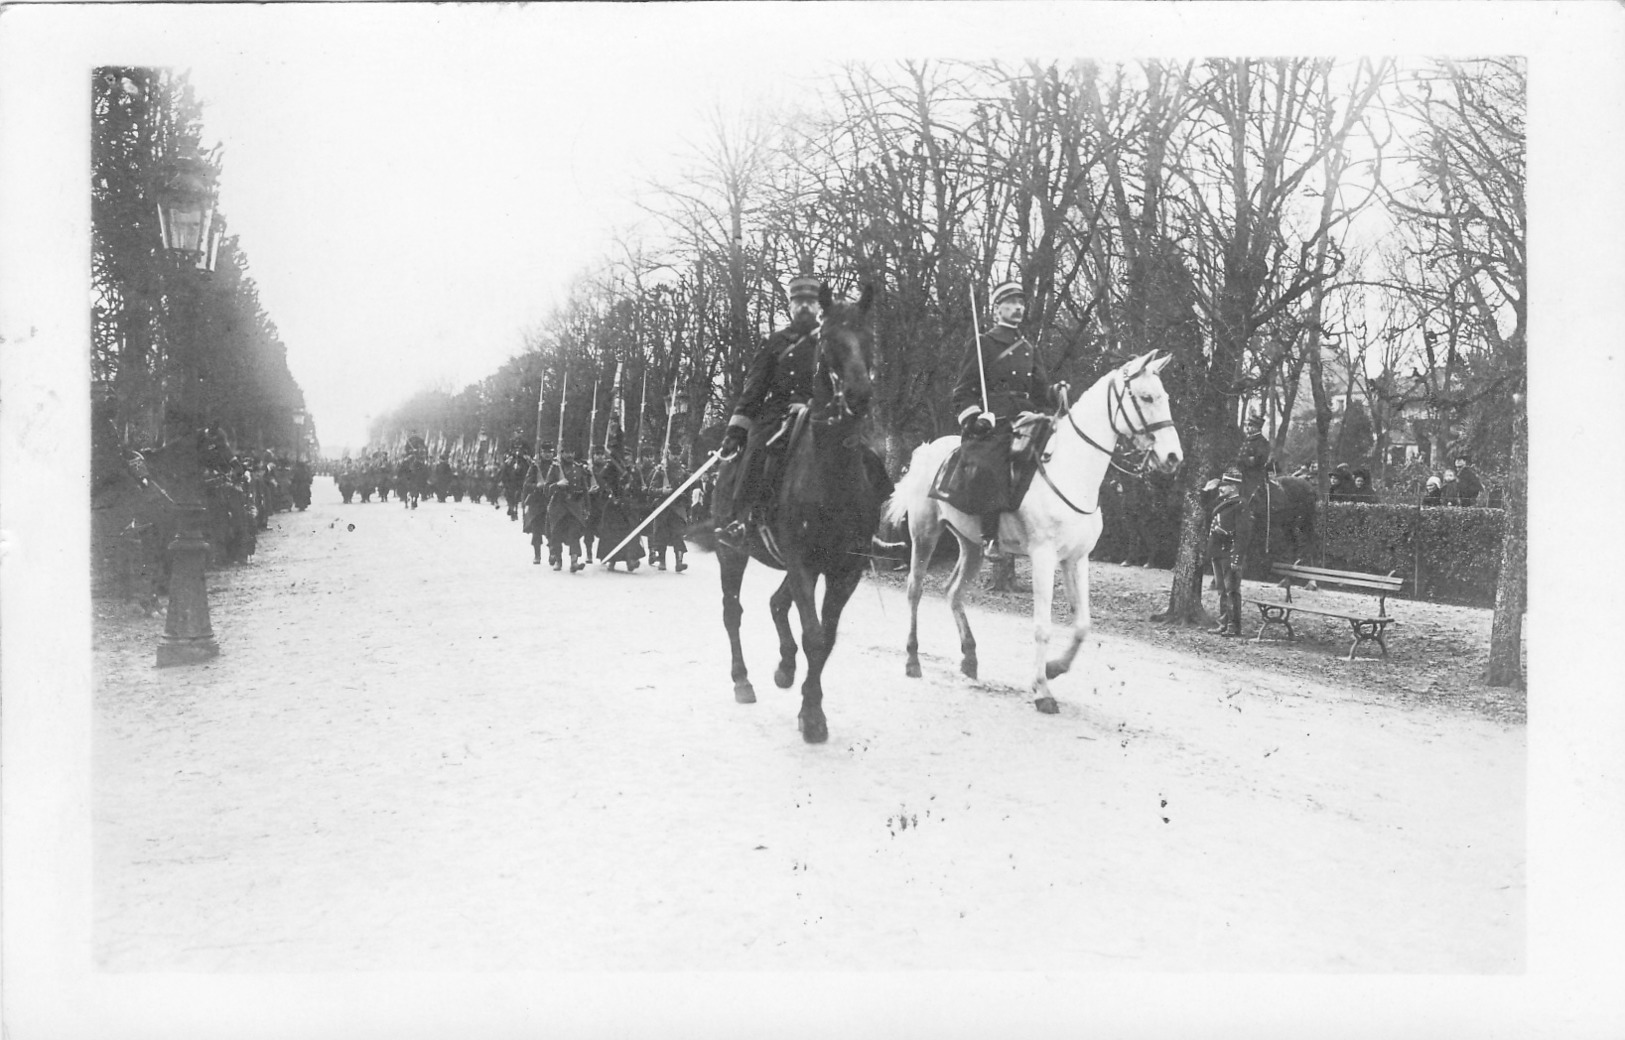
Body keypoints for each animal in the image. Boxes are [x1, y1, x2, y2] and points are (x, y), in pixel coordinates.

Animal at [715, 284, 890, 741]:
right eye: (827, 341)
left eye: (869, 338)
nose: (860, 396)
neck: (832, 475)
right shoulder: (803, 563)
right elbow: (813, 634)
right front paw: (812, 716)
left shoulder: (844, 570)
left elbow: (825, 638)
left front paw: (809, 701)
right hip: (732, 553)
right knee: (733, 611)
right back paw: (742, 679)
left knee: (777, 604)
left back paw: (785, 666)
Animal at [884, 354, 1189, 711]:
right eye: (1146, 397)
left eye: (1164, 396)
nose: (1173, 457)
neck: (1071, 468)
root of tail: (928, 450)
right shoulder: (1044, 557)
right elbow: (1043, 626)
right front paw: (1042, 689)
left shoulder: (1077, 559)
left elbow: (1083, 625)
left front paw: (1054, 668)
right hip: (924, 533)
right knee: (915, 590)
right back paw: (913, 660)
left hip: (971, 545)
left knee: (953, 592)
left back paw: (970, 659)